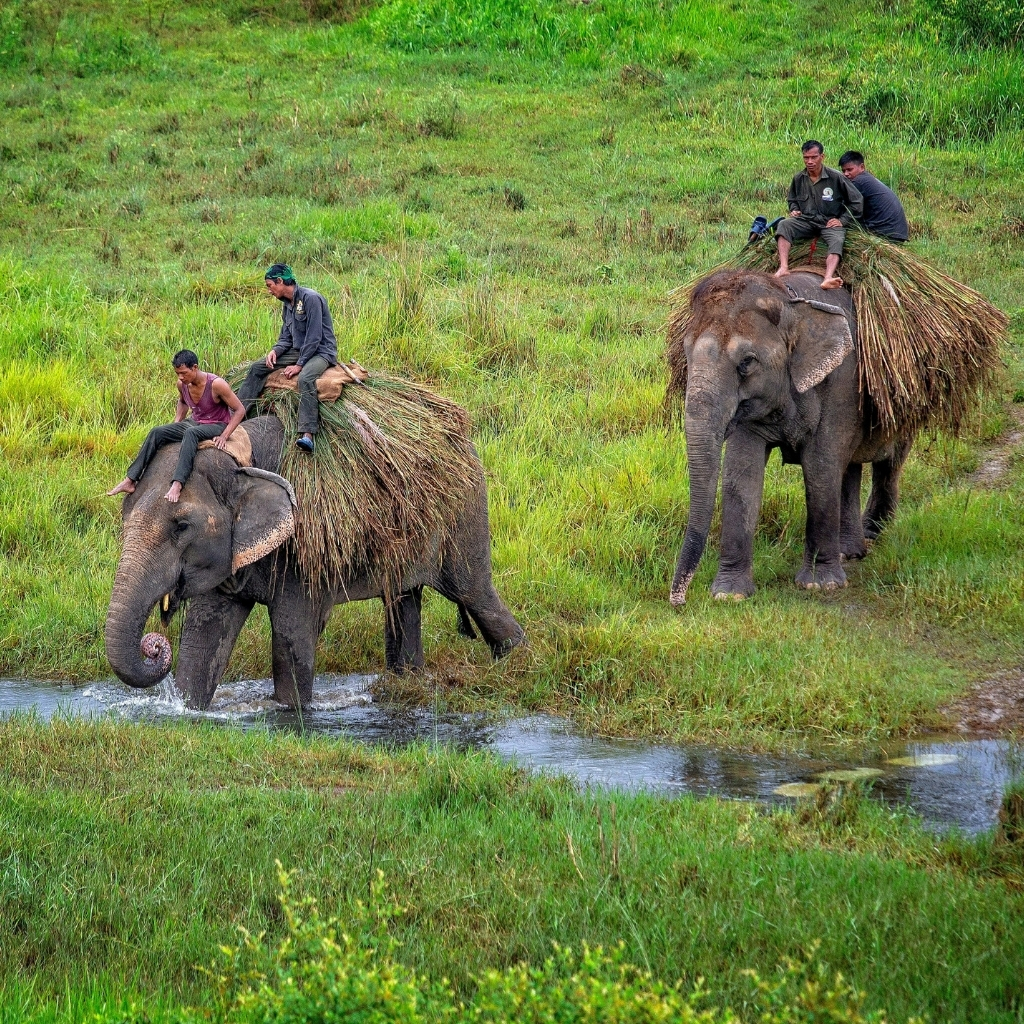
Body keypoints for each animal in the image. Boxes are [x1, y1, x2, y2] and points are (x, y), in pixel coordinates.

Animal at [105, 413, 526, 709]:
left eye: (181, 526)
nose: (153, 645)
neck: (242, 458)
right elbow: (205, 635)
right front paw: (189, 710)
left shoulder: (303, 543)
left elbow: (291, 637)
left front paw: (292, 712)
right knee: (404, 601)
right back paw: (407, 683)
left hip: (465, 509)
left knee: (473, 593)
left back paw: (518, 663)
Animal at [668, 268, 914, 606]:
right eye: (685, 354)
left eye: (747, 363)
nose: (678, 600)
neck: (789, 300)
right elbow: (740, 476)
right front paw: (730, 595)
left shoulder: (842, 379)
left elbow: (820, 467)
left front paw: (820, 586)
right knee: (849, 468)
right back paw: (850, 552)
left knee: (888, 460)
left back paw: (872, 533)